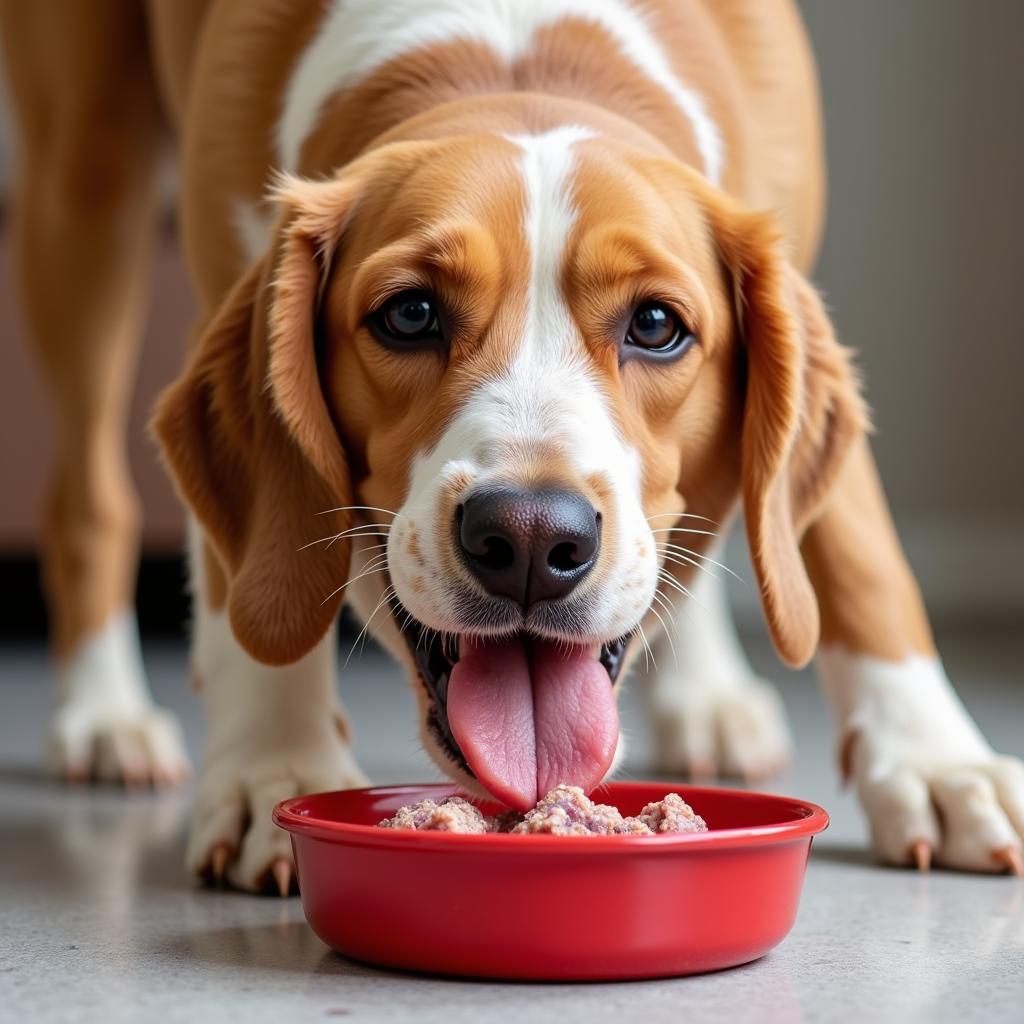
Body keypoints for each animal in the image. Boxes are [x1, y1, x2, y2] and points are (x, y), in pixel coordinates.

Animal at [4, 0, 1019, 892]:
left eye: (657, 325)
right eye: (410, 314)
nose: (531, 538)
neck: (519, 60)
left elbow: (858, 555)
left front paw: (936, 762)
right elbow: (254, 587)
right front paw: (274, 770)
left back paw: (709, 696)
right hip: (83, 178)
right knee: (88, 500)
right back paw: (104, 716)